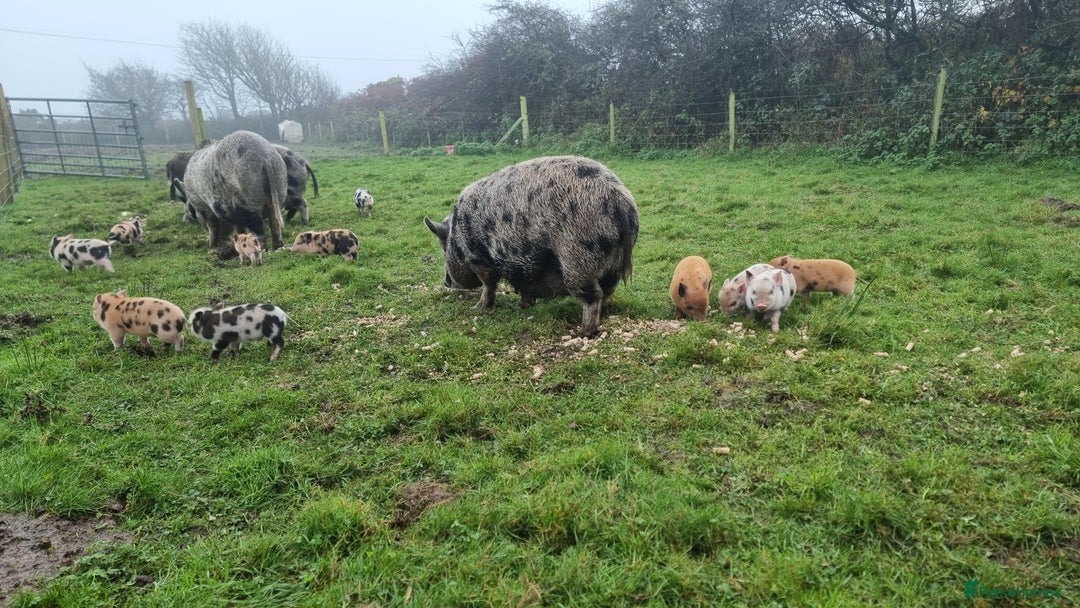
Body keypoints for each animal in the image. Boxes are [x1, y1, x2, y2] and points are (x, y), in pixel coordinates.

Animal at [424, 155, 639, 337]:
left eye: (444, 249)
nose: (445, 281)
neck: (459, 236)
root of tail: (620, 198)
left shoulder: (479, 260)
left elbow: (489, 284)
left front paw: (478, 308)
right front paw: (525, 305)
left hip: (578, 259)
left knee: (594, 295)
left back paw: (583, 332)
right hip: (613, 263)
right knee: (608, 290)